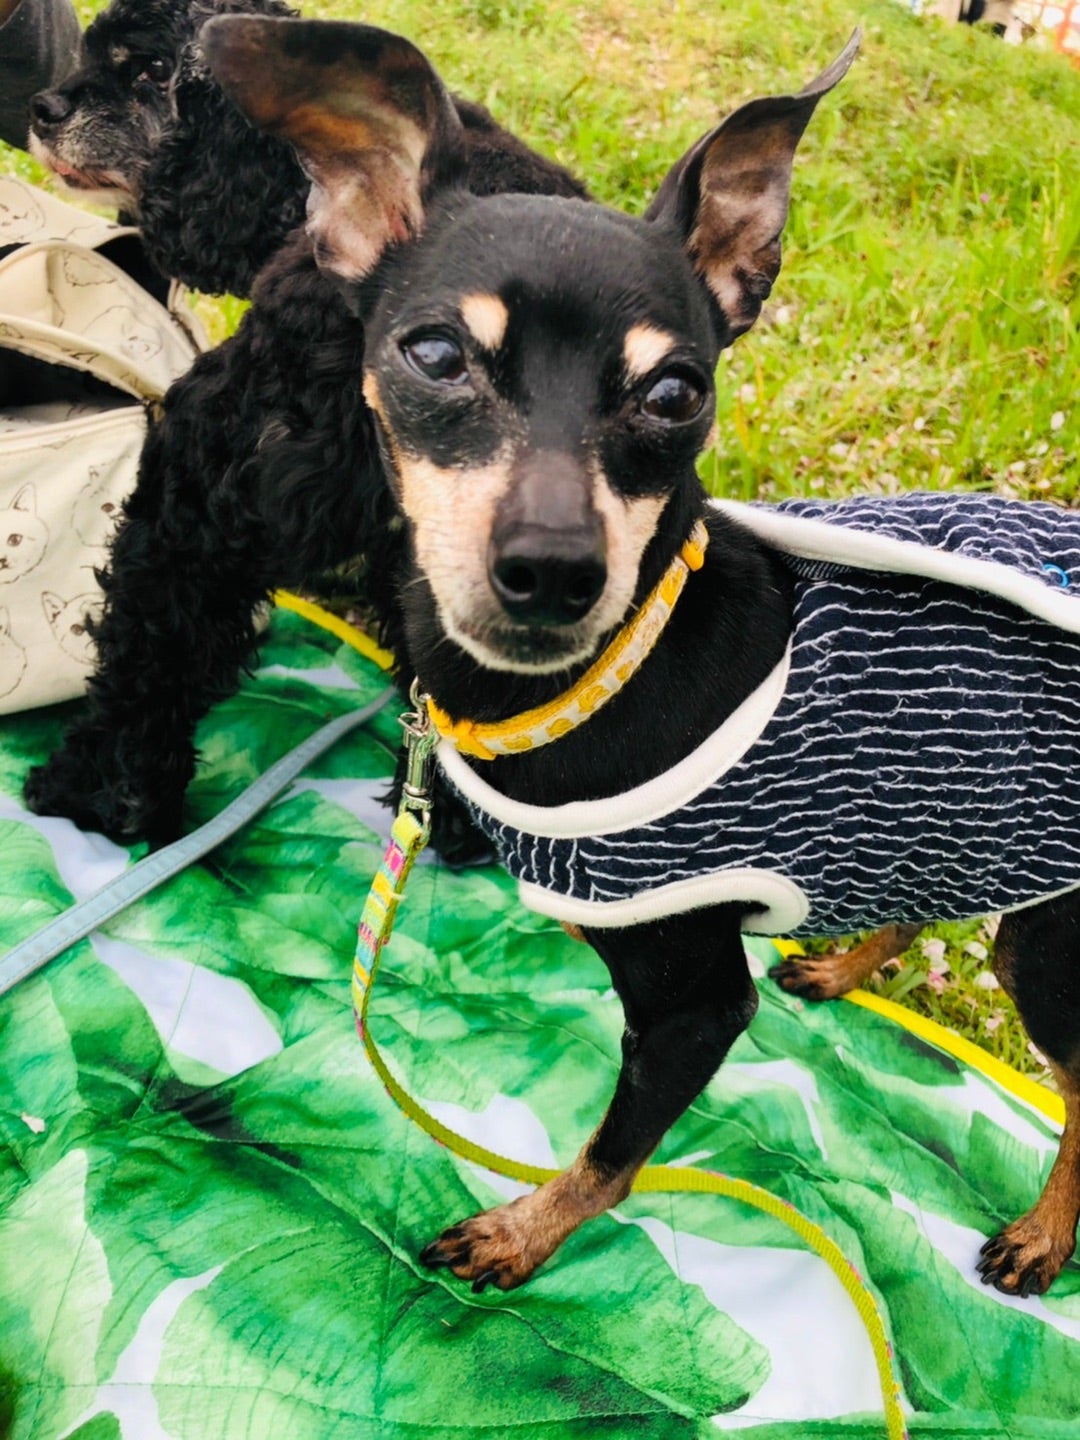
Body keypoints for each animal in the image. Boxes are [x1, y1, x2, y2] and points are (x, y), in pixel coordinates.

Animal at [197, 16, 1080, 1301]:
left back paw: (1046, 1230)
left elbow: (614, 1156)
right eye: (433, 354)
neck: (602, 683)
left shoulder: (697, 1005)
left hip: (1054, 945)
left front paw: (525, 1233)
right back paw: (850, 965)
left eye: (678, 392)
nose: (555, 569)